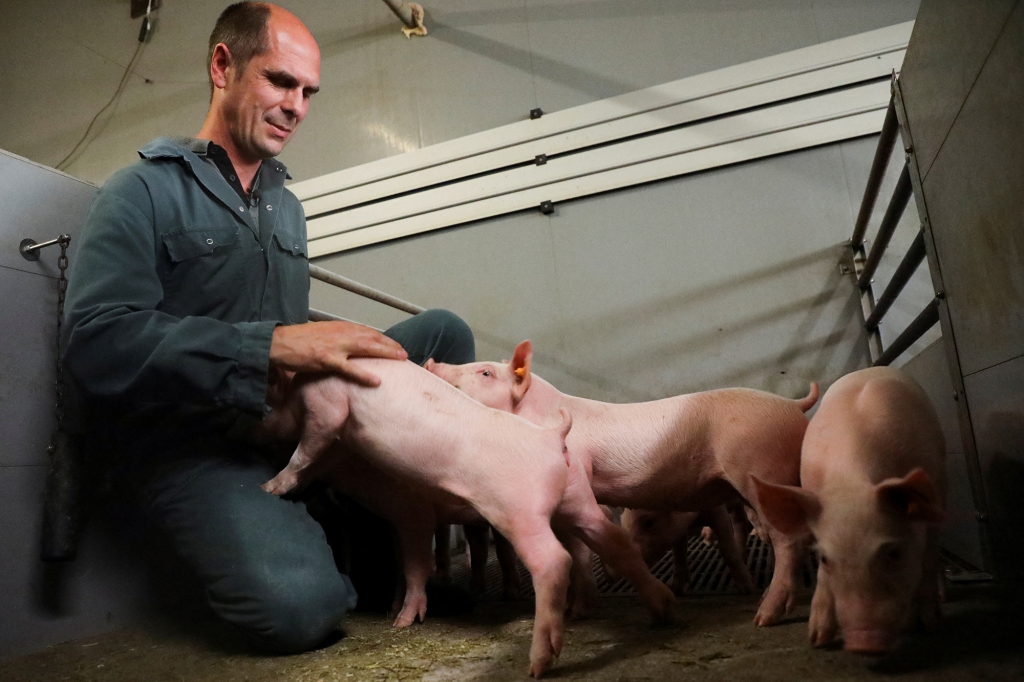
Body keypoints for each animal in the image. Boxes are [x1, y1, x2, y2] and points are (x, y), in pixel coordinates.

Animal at [258, 356, 671, 675]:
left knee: (554, 561)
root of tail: (552, 438)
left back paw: (538, 665)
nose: (256, 431)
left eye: (267, 403)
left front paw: (270, 487)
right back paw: (663, 611)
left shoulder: (330, 409)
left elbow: (309, 448)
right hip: (578, 498)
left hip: (520, 511)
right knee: (614, 542)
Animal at [423, 342, 815, 622]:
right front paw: (578, 612)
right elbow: (576, 551)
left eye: (486, 372)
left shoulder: (579, 473)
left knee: (788, 539)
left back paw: (764, 615)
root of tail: (793, 404)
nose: (429, 363)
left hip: (761, 468)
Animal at [749, 366, 946, 655]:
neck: (850, 482)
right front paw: (817, 639)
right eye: (824, 558)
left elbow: (929, 558)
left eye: (894, 553)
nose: (863, 642)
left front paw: (929, 626)